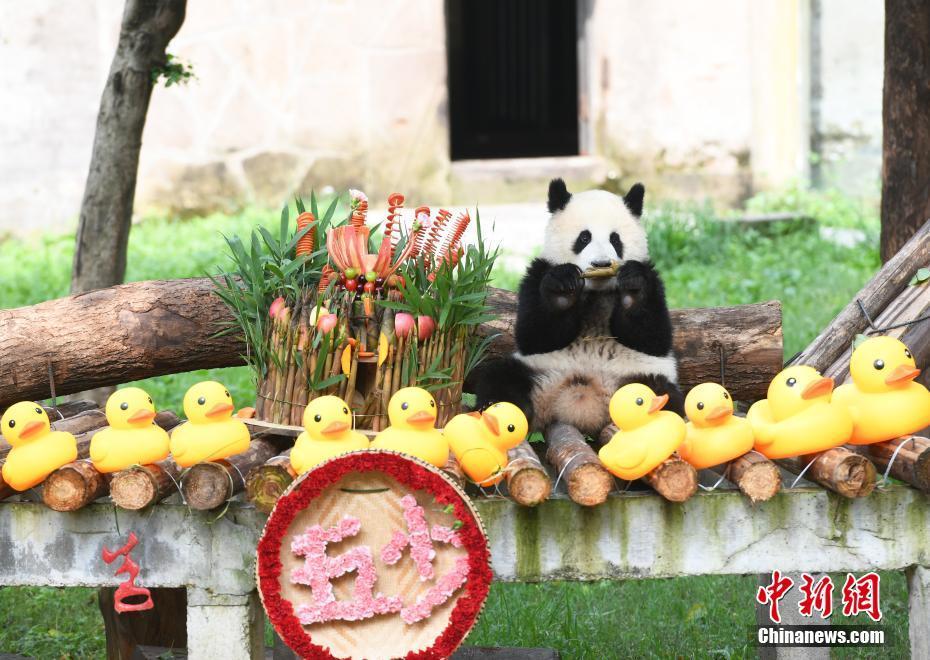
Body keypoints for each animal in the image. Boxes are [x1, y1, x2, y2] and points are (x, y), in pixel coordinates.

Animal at [472, 178, 680, 436]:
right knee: (500, 378)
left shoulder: (653, 280)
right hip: (538, 371)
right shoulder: (540, 272)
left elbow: (654, 338)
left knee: (664, 396)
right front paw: (563, 289)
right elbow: (533, 333)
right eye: (584, 238)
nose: (601, 263)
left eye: (615, 239)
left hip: (636, 375)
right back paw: (500, 415)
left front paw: (632, 287)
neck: (596, 290)